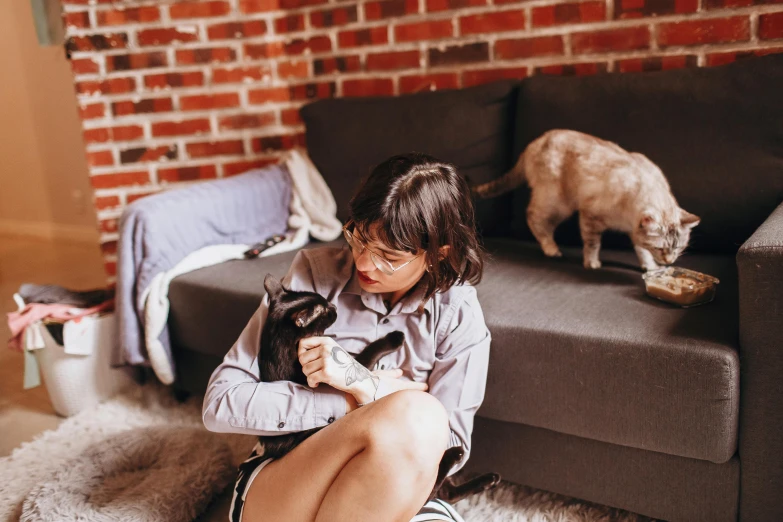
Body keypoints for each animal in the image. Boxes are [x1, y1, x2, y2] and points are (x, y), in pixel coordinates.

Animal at [258, 274, 502, 502]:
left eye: (327, 303)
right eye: (325, 310)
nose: (334, 307)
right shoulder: (351, 365)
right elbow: (367, 353)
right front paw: (394, 338)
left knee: (445, 492)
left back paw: (488, 478)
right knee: (434, 489)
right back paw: (457, 454)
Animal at [468, 129, 700, 270]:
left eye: (678, 249)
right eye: (661, 249)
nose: (669, 262)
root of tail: (535, 142)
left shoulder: (635, 230)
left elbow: (641, 249)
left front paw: (649, 268)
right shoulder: (590, 215)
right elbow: (593, 244)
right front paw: (592, 263)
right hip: (559, 203)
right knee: (533, 217)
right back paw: (552, 249)